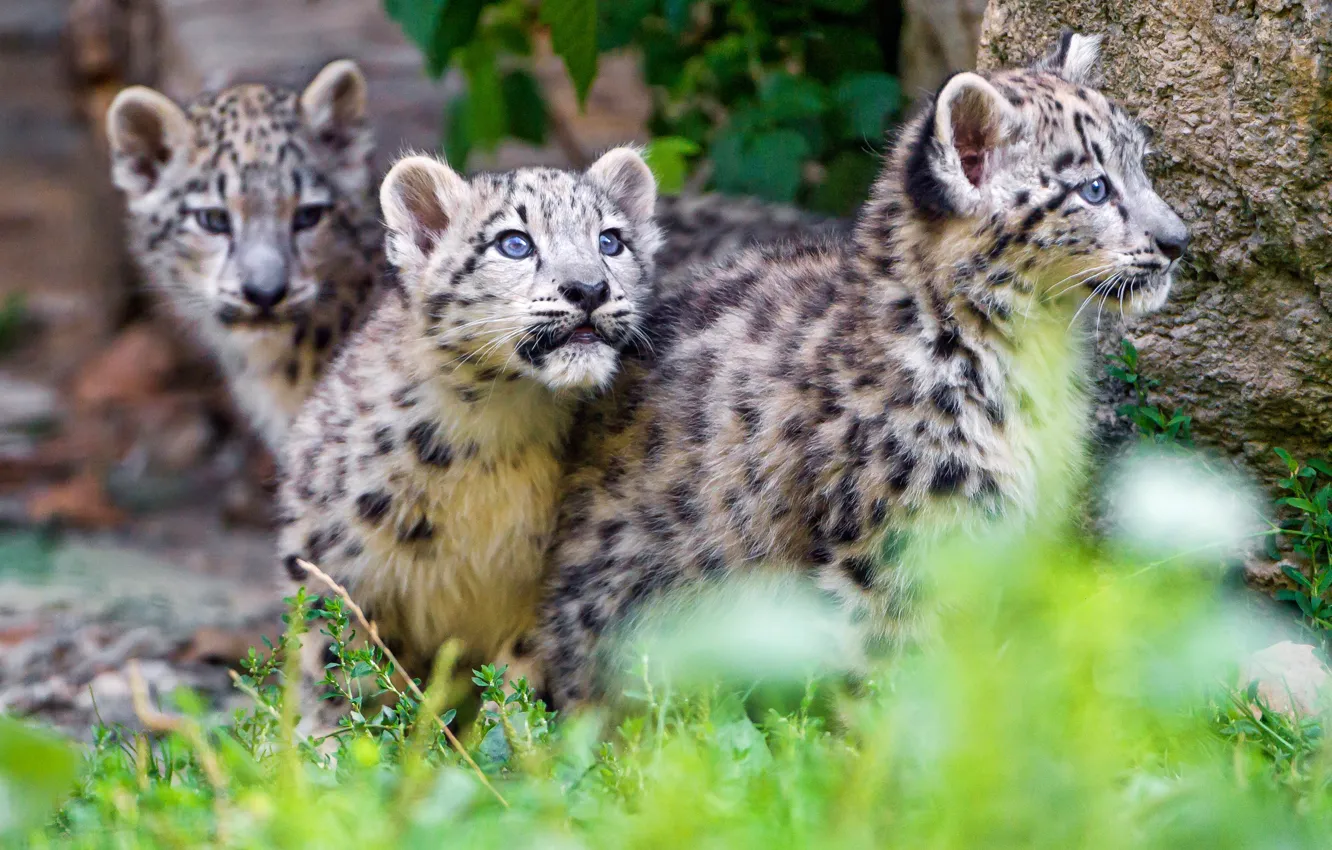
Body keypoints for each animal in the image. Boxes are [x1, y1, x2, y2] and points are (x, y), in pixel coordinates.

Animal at [533, 31, 1191, 708]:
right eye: (1094, 189)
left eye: (1142, 164)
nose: (1179, 241)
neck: (1033, 357)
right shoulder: (893, 552)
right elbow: (892, 673)